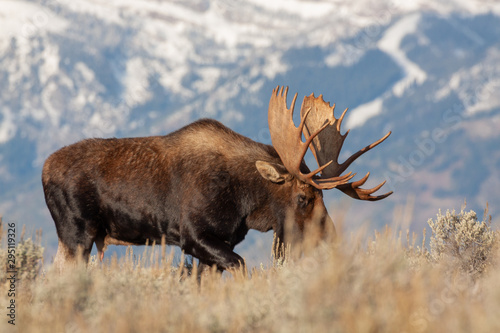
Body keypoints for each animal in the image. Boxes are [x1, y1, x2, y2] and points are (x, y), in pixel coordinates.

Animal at [42, 85, 390, 270]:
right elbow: (241, 266)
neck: (247, 203)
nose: (329, 240)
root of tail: (43, 169)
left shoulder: (218, 243)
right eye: (303, 198)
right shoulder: (194, 236)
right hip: (76, 234)